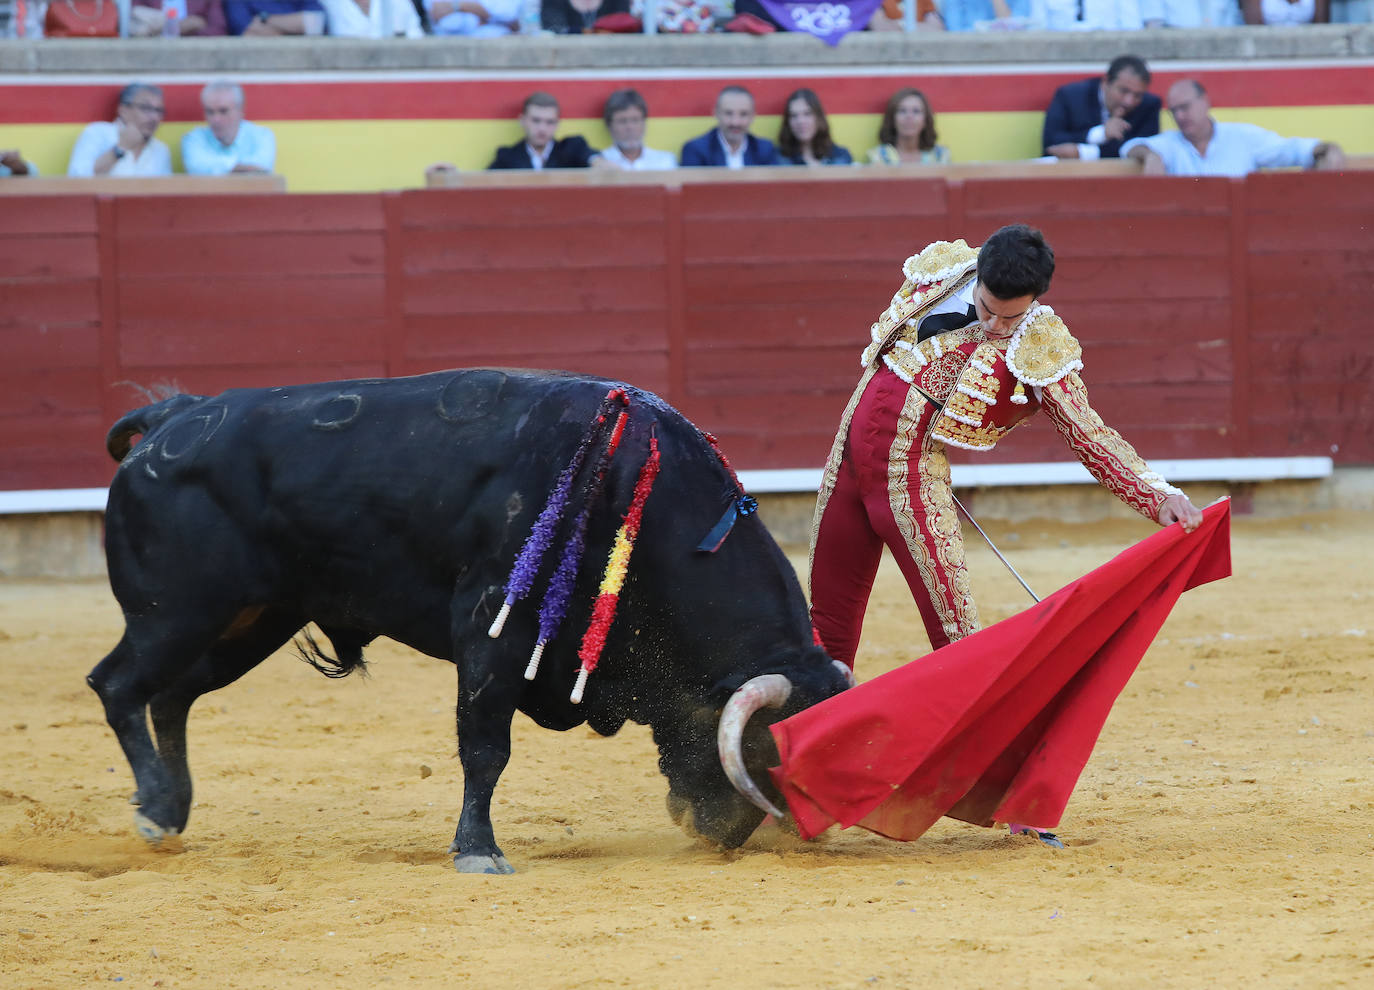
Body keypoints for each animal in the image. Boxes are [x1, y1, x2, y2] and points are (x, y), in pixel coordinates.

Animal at [88, 370, 846, 873]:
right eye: (761, 752)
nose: (724, 836)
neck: (636, 494)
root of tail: (172, 418)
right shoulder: (490, 627)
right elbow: (486, 748)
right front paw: (479, 852)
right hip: (175, 614)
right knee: (118, 683)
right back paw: (152, 806)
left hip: (252, 620)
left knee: (172, 695)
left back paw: (169, 814)